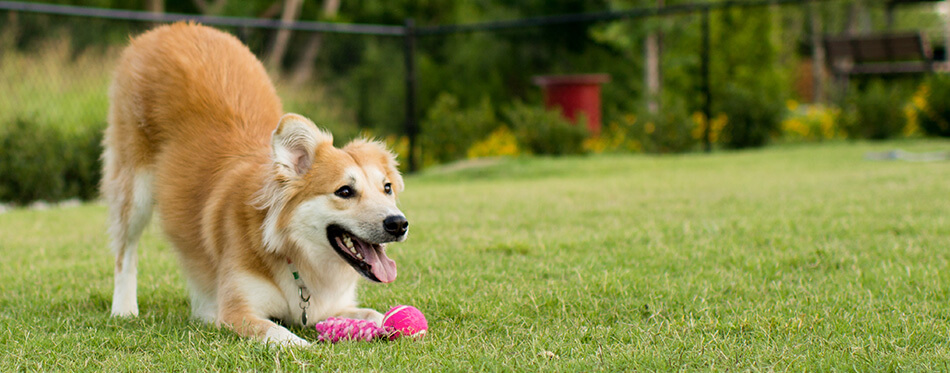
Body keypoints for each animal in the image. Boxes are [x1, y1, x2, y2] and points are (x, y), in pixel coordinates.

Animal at [104, 21, 410, 344]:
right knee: (125, 252)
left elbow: (375, 314)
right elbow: (282, 335)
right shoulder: (237, 312)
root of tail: (172, 28)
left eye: (387, 188)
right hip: (133, 189)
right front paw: (306, 346)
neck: (293, 252)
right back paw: (124, 308)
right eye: (345, 191)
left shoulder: (330, 307)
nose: (398, 224)